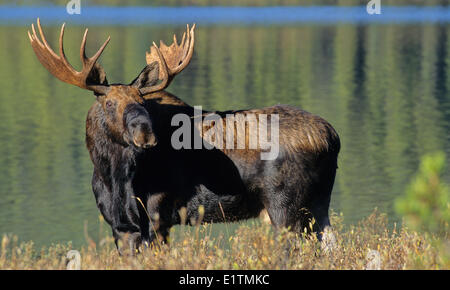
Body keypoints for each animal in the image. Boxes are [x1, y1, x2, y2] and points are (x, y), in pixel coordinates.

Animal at [28, 19, 340, 253]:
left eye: (142, 101)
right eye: (109, 104)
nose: (146, 134)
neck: (111, 174)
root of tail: (332, 137)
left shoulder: (157, 217)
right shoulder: (121, 226)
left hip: (284, 206)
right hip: (318, 204)